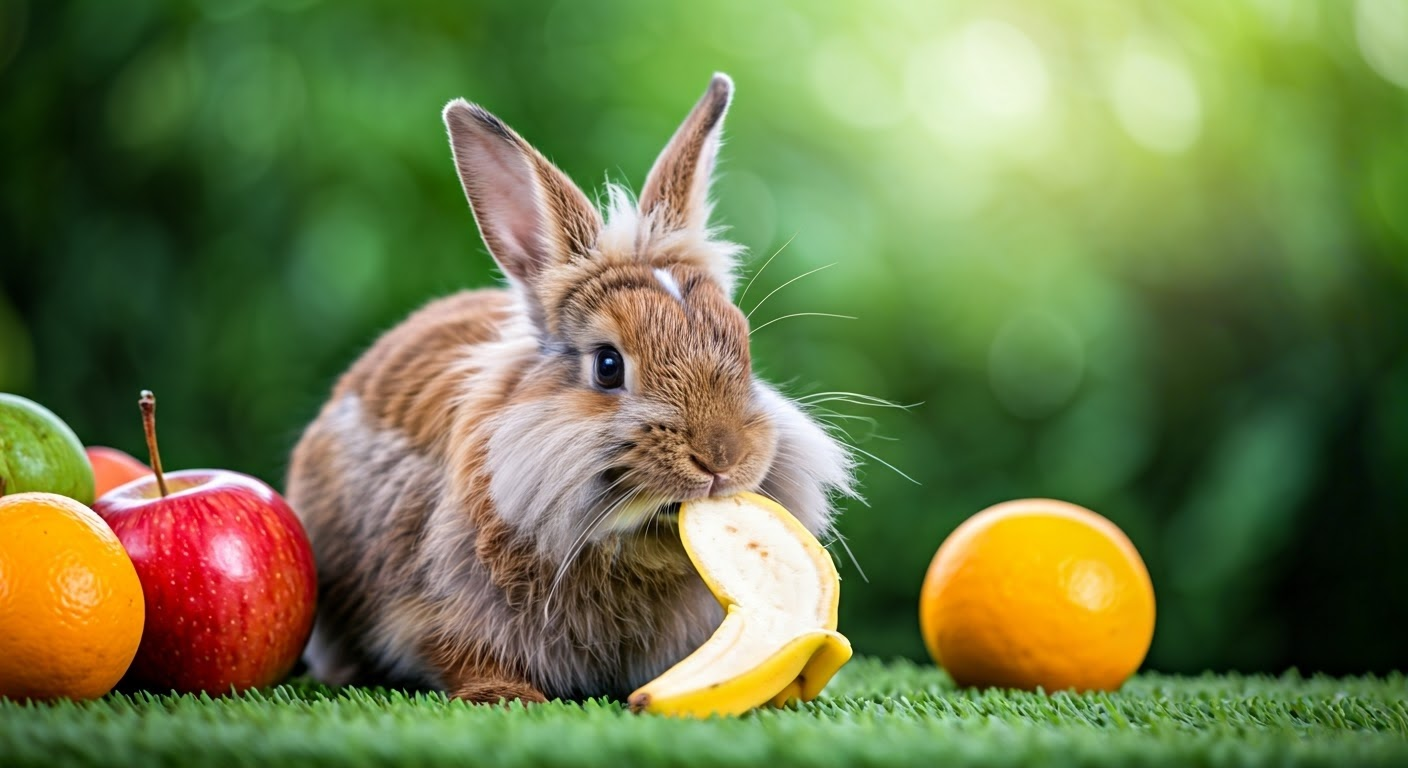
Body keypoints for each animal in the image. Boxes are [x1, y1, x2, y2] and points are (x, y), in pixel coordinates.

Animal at [284, 74, 850, 704]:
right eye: (607, 365)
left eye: (743, 346)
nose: (722, 456)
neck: (629, 540)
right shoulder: (440, 608)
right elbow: (460, 653)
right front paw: (506, 697)